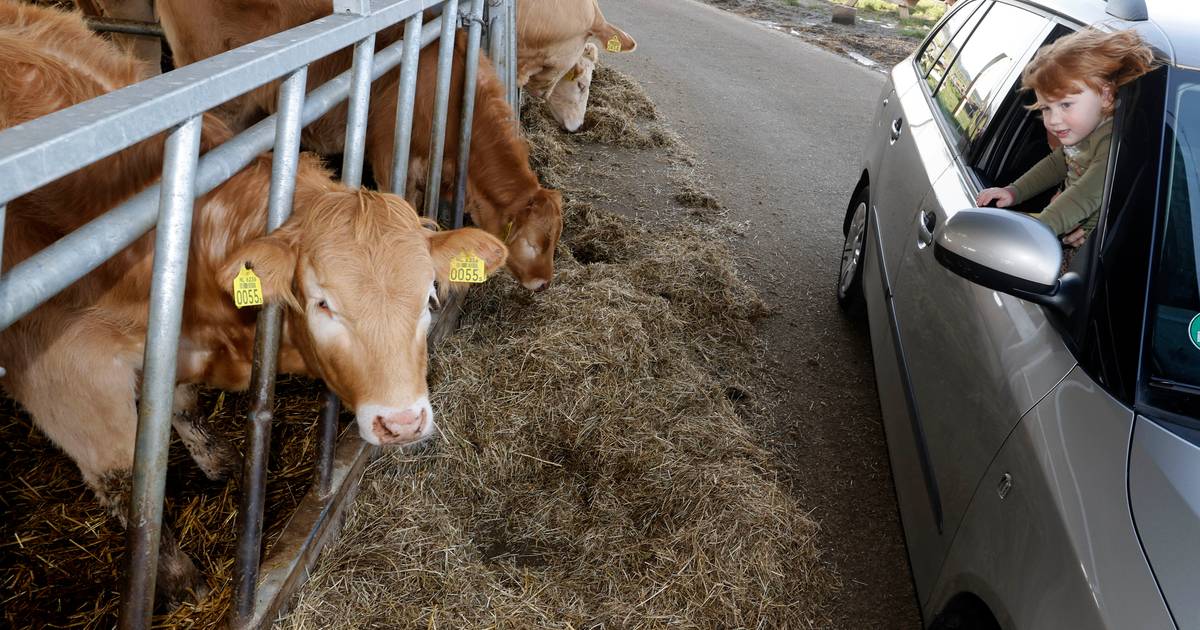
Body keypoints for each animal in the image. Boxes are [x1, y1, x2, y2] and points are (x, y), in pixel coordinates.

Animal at [0, 2, 501, 607]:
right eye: (322, 303)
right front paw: (181, 581)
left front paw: (222, 462)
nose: (402, 423)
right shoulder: (65, 374)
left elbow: (181, 405)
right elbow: (128, 489)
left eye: (429, 296)